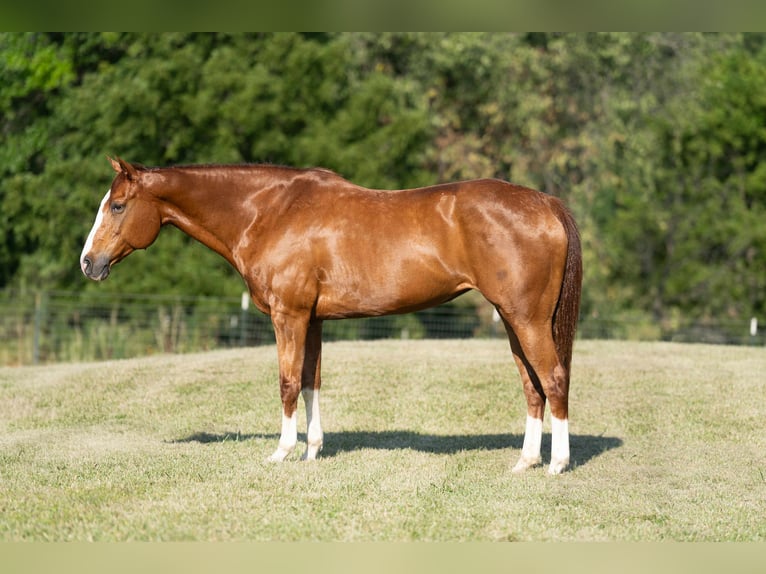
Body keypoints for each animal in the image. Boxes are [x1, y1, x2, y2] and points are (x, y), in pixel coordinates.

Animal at [80, 157, 582, 474]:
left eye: (118, 205)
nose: (88, 263)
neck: (269, 212)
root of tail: (546, 203)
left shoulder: (289, 316)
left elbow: (287, 382)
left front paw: (282, 452)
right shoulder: (313, 319)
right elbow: (311, 382)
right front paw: (312, 452)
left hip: (527, 320)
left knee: (554, 379)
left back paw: (557, 465)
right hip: (513, 320)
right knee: (532, 387)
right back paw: (525, 462)